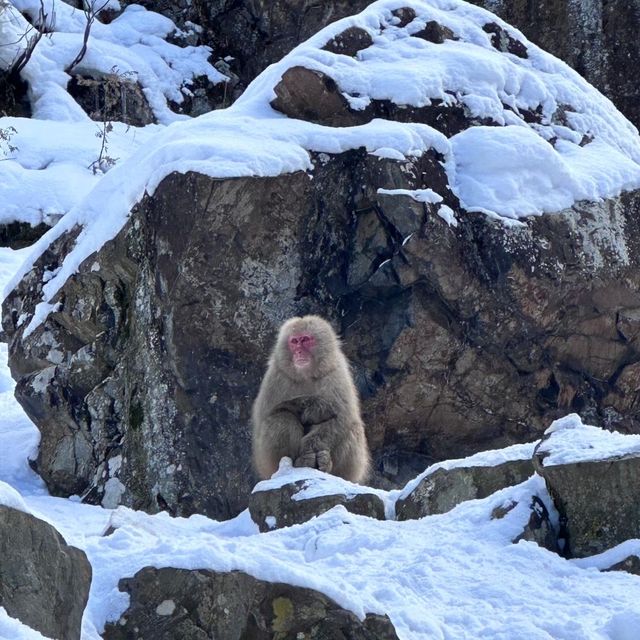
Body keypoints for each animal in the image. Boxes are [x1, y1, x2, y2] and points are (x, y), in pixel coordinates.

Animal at [251, 316, 370, 480]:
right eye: (294, 341)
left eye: (306, 340)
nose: (299, 351)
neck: (306, 375)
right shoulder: (276, 376)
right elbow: (270, 412)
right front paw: (312, 407)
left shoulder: (337, 373)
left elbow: (342, 417)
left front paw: (309, 447)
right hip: (265, 464)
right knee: (281, 417)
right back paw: (295, 464)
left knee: (353, 427)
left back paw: (328, 465)